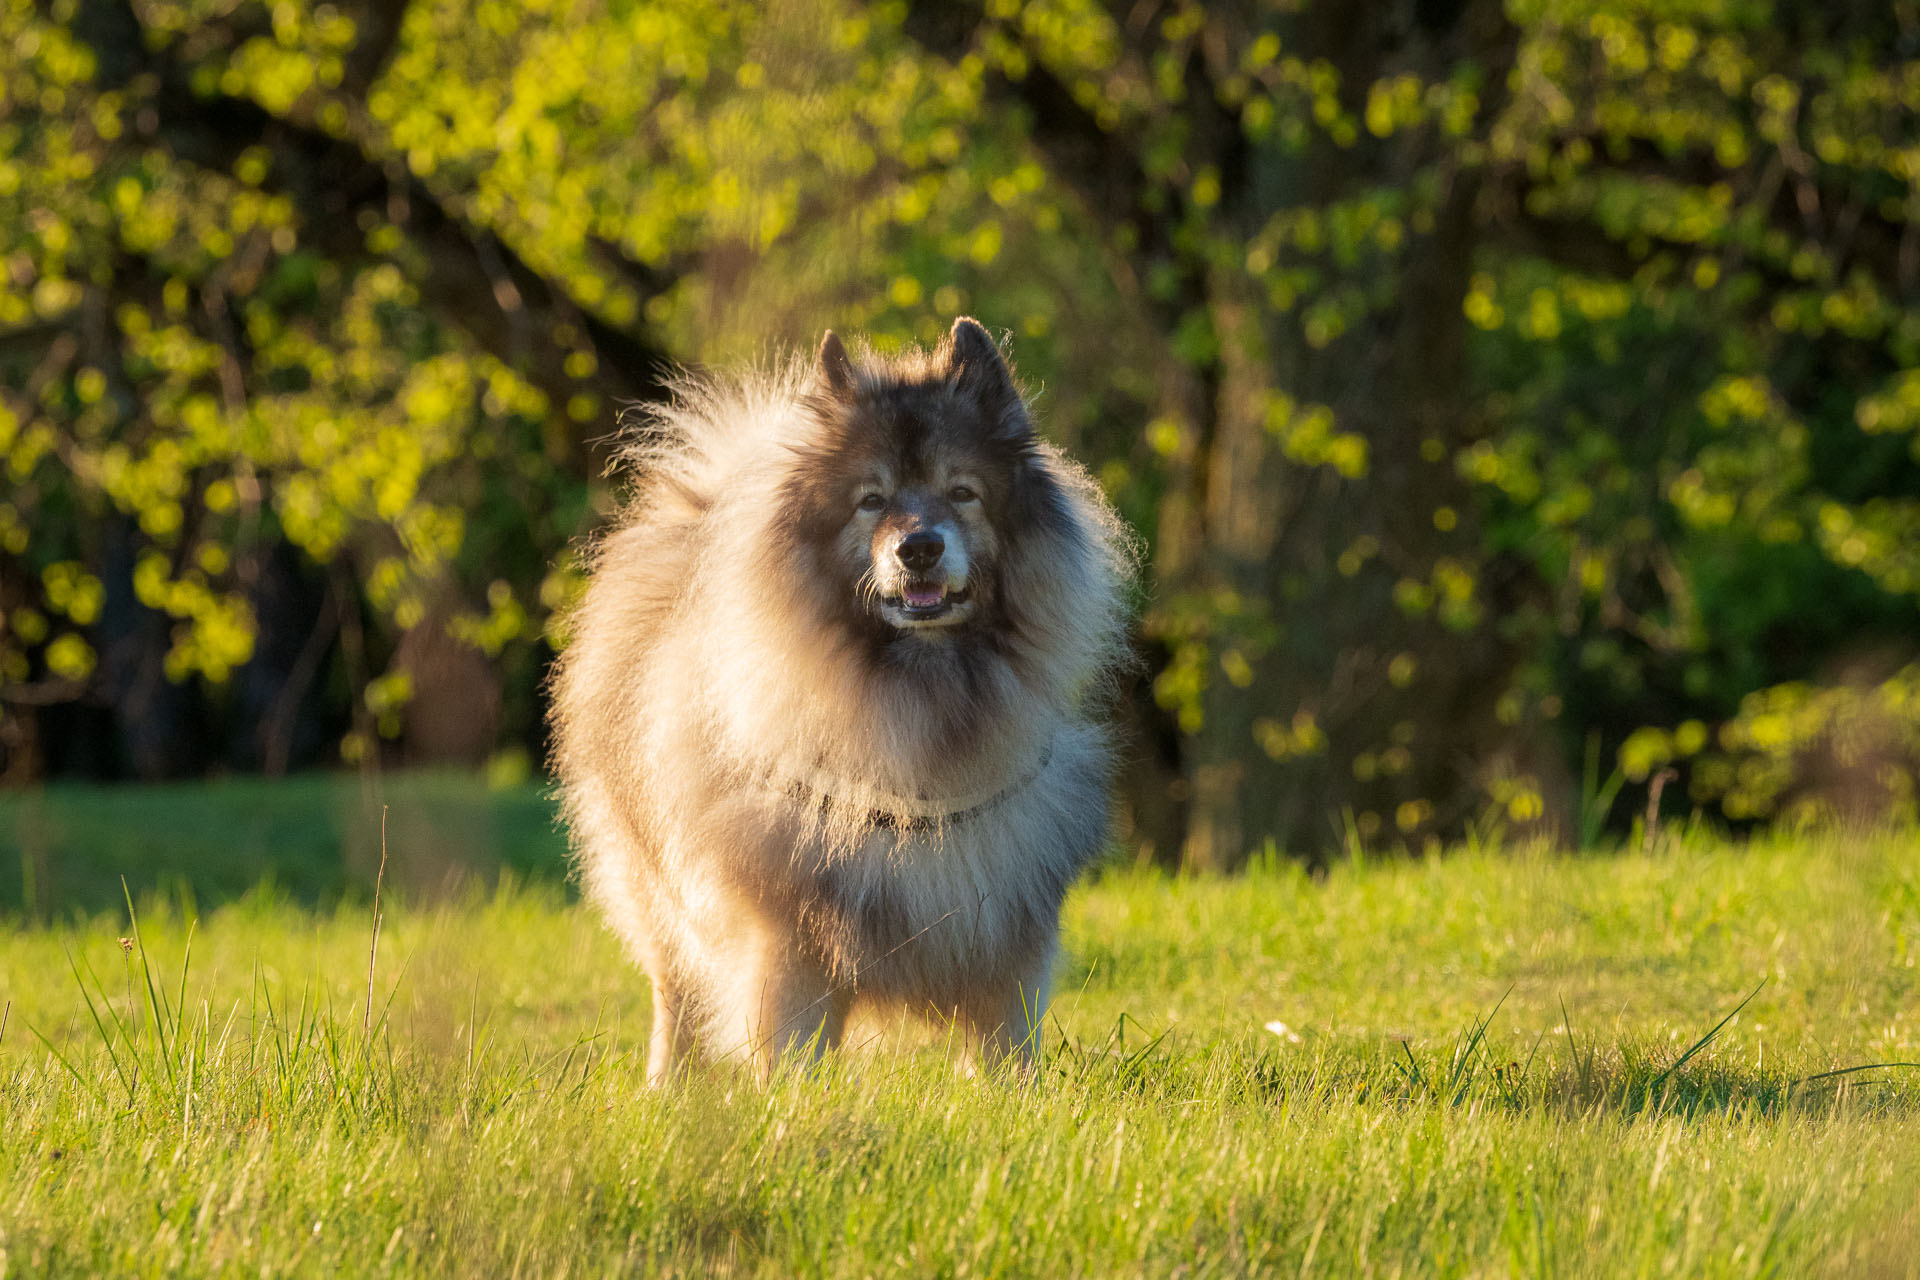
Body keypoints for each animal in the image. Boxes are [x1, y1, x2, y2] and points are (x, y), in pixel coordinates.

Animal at [549, 318, 1128, 1082]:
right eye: (871, 500)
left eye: (962, 492)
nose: (919, 548)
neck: (918, 700)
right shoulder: (790, 935)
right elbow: (786, 1043)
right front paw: (788, 1097)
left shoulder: (1006, 926)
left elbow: (1005, 1041)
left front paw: (1010, 1095)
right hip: (656, 887)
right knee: (674, 994)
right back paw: (665, 1087)